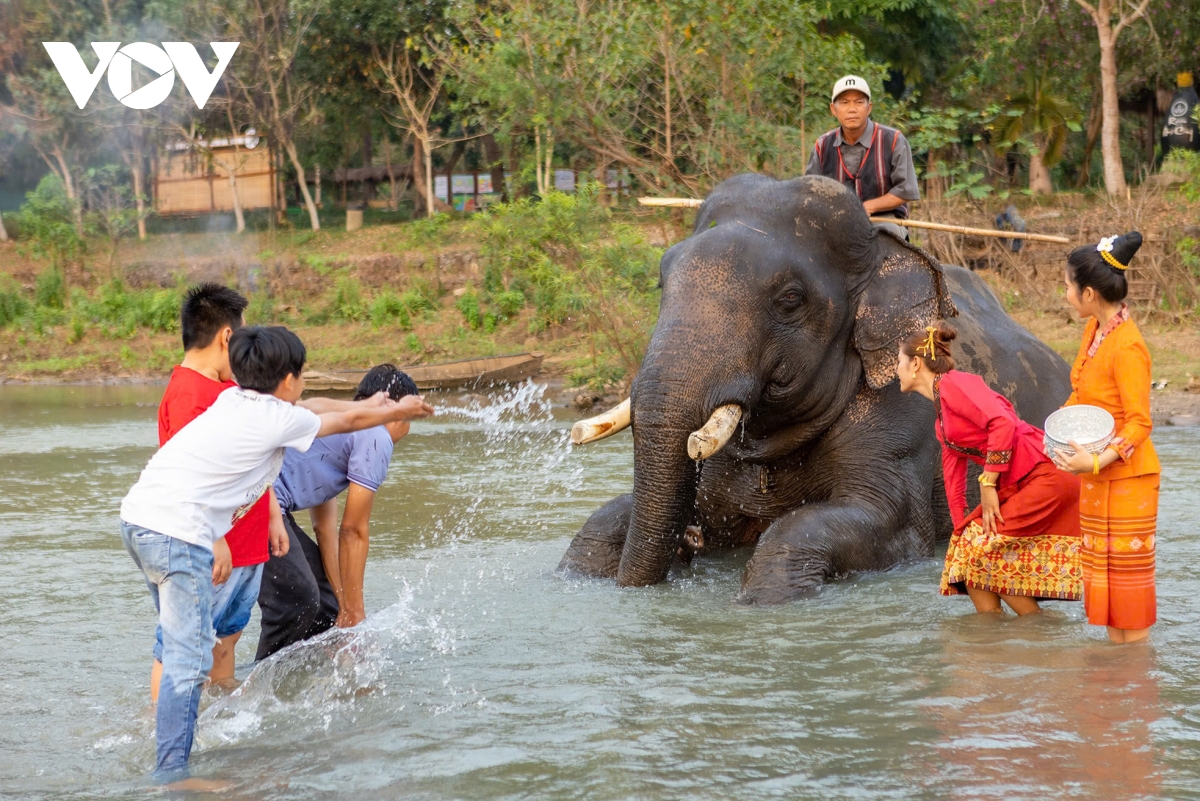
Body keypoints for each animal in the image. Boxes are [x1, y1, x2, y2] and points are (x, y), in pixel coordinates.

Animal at [556, 173, 1075, 599]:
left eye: (789, 300)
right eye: (662, 283)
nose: (686, 546)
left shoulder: (905, 421)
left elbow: (886, 523)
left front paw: (764, 596)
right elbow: (617, 518)